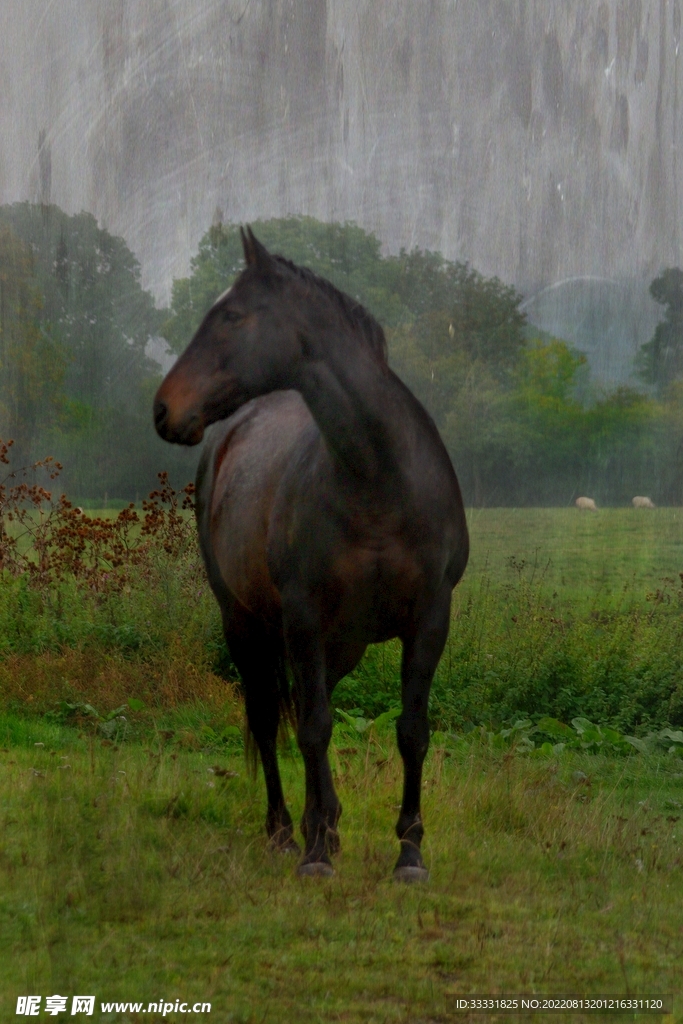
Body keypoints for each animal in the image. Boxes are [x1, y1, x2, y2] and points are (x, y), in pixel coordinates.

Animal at [154, 227, 469, 881]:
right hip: (247, 624)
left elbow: (411, 731)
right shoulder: (304, 616)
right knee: (271, 715)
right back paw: (285, 831)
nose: (164, 409)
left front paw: (409, 853)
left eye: (231, 315)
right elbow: (314, 729)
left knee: (299, 705)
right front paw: (318, 852)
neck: (379, 479)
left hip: (340, 643)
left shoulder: (430, 618)